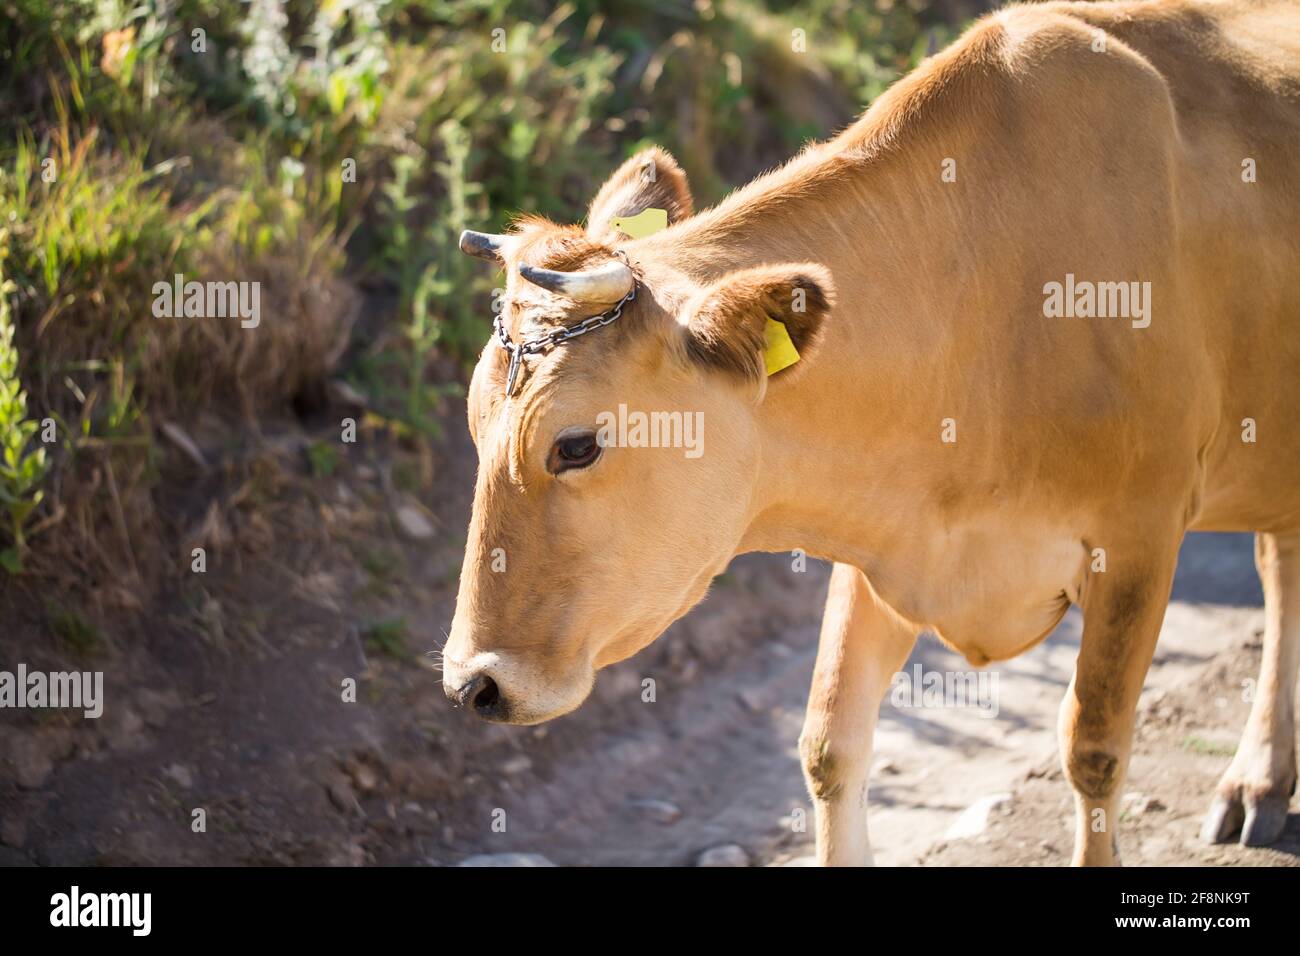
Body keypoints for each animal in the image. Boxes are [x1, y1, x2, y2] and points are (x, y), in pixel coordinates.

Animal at [445, 0, 1300, 865]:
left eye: (576, 445)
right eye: (475, 423)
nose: (472, 683)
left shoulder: (1140, 540)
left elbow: (1094, 748)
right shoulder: (884, 536)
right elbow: (831, 743)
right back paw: (1261, 782)